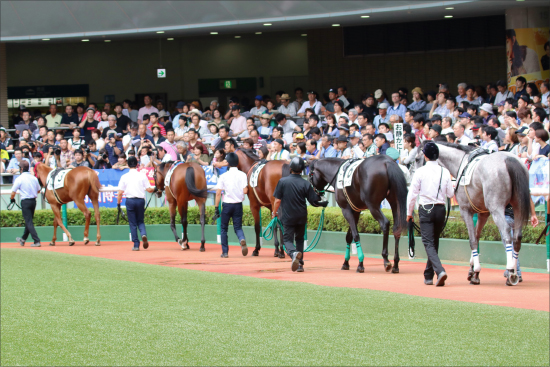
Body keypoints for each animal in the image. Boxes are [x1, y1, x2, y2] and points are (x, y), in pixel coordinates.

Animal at [418, 142, 536, 286]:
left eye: (417, 158)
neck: (462, 162)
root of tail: (509, 159)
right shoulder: (483, 213)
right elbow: (477, 236)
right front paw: (473, 272)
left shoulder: (465, 211)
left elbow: (472, 240)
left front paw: (476, 270)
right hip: (518, 205)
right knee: (517, 237)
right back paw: (514, 272)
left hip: (496, 208)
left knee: (507, 233)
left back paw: (511, 271)